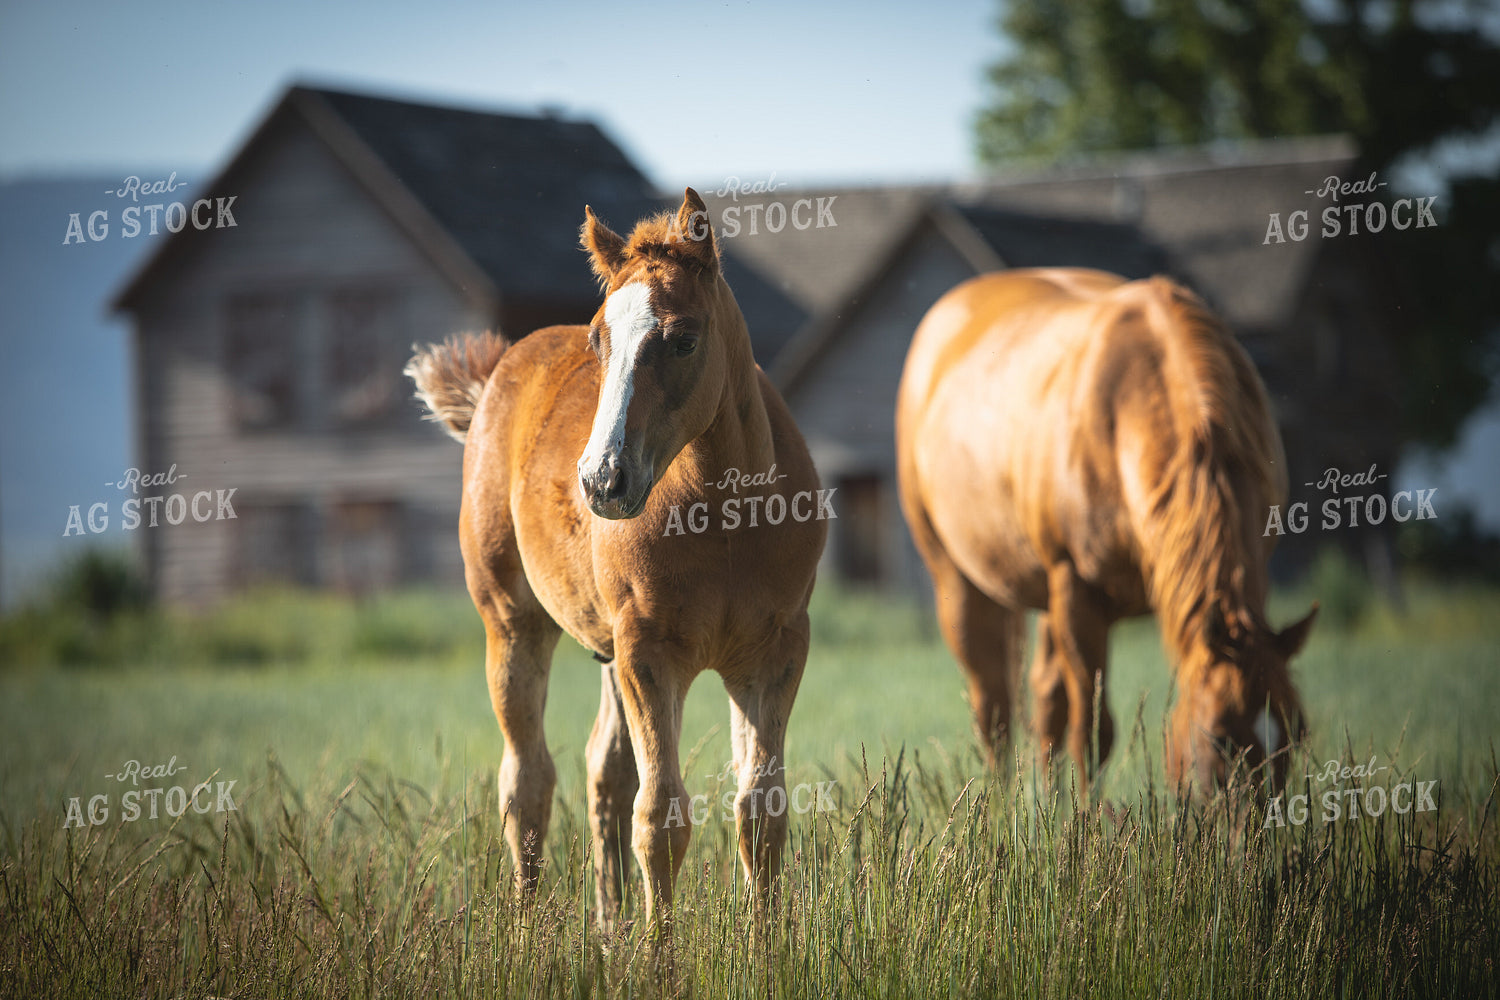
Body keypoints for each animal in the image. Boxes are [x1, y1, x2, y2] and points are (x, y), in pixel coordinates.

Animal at [406, 189, 826, 926]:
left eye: (683, 338)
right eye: (598, 341)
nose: (603, 480)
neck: (726, 513)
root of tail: (496, 377)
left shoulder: (773, 652)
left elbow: (761, 813)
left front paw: (766, 943)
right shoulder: (650, 652)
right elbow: (660, 817)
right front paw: (661, 948)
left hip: (608, 647)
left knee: (604, 770)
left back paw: (610, 926)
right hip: (514, 625)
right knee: (527, 783)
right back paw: (528, 932)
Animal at [895, 268, 1317, 795]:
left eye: (1297, 732)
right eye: (1218, 736)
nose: (1261, 820)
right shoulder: (1077, 590)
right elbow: (1094, 733)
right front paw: (1087, 818)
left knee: (1044, 699)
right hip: (959, 576)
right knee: (993, 705)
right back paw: (1002, 803)